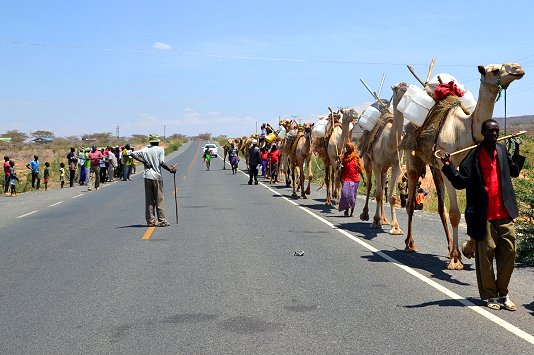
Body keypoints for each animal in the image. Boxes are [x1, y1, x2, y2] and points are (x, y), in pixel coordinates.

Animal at [360, 82, 410, 235]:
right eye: (398, 88)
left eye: (407, 86)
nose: (406, 92)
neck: (390, 144)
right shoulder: (376, 164)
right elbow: (378, 194)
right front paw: (375, 222)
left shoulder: (396, 165)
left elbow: (391, 196)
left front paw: (396, 227)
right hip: (368, 162)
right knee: (371, 185)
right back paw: (366, 215)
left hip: (384, 168)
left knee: (382, 185)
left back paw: (384, 219)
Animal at [404, 63, 524, 270]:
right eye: (494, 70)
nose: (518, 68)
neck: (465, 131)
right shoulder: (449, 166)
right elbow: (455, 213)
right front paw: (455, 260)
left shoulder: (467, 170)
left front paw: (468, 249)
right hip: (414, 159)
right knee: (411, 202)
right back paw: (410, 245)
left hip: (435, 168)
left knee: (440, 208)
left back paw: (449, 247)